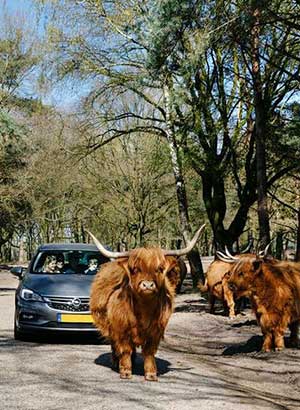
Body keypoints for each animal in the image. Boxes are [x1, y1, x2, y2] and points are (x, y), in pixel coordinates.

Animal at [87, 226, 204, 380]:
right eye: (135, 269)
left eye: (159, 269)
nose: (148, 285)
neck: (144, 310)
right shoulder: (121, 328)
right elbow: (125, 349)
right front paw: (125, 371)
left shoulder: (156, 330)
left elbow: (149, 351)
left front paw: (151, 374)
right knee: (115, 345)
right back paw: (116, 362)